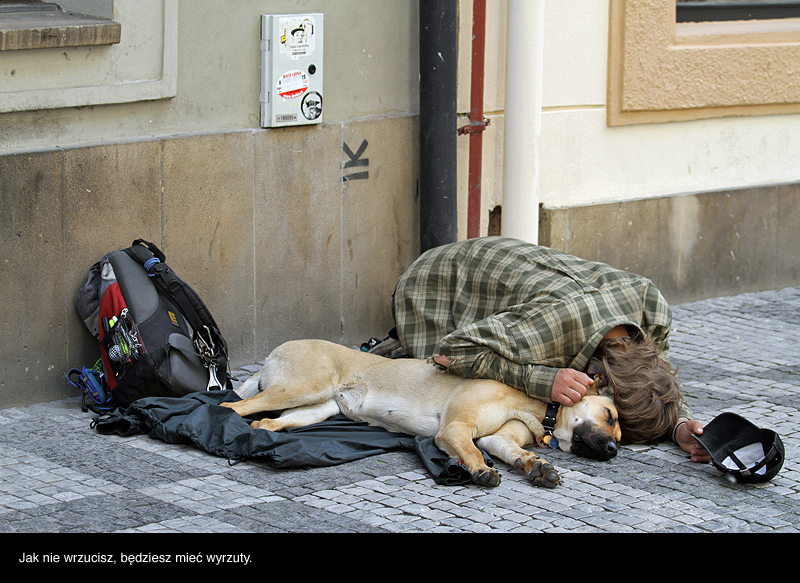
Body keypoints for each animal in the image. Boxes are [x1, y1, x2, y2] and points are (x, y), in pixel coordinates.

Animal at [222, 338, 620, 488]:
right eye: (611, 416)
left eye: (619, 432)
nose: (614, 450)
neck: (538, 406)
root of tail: (277, 349)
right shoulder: (454, 429)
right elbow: (473, 451)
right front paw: (479, 471)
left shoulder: (498, 438)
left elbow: (513, 451)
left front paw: (536, 466)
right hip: (303, 388)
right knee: (230, 405)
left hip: (315, 408)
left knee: (265, 420)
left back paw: (259, 437)